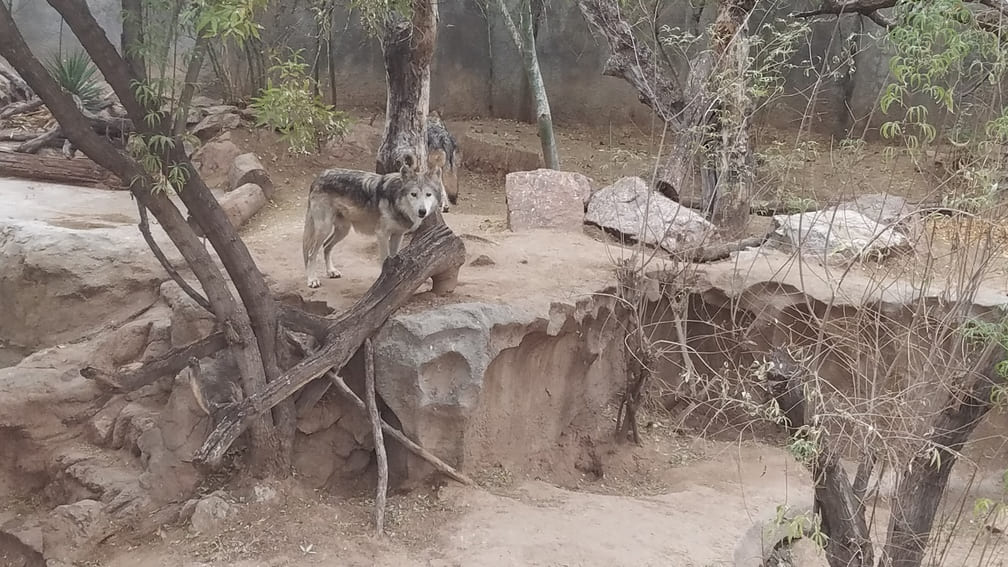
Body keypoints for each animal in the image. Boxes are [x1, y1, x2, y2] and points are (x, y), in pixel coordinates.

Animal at [302, 151, 446, 288]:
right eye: (414, 194)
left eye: (428, 194)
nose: (422, 211)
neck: (396, 200)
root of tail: (318, 177)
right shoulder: (382, 234)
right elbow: (384, 260)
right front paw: (384, 281)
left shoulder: (397, 235)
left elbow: (393, 257)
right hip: (324, 228)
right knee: (311, 254)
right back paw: (312, 280)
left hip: (343, 230)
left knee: (326, 246)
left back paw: (331, 271)